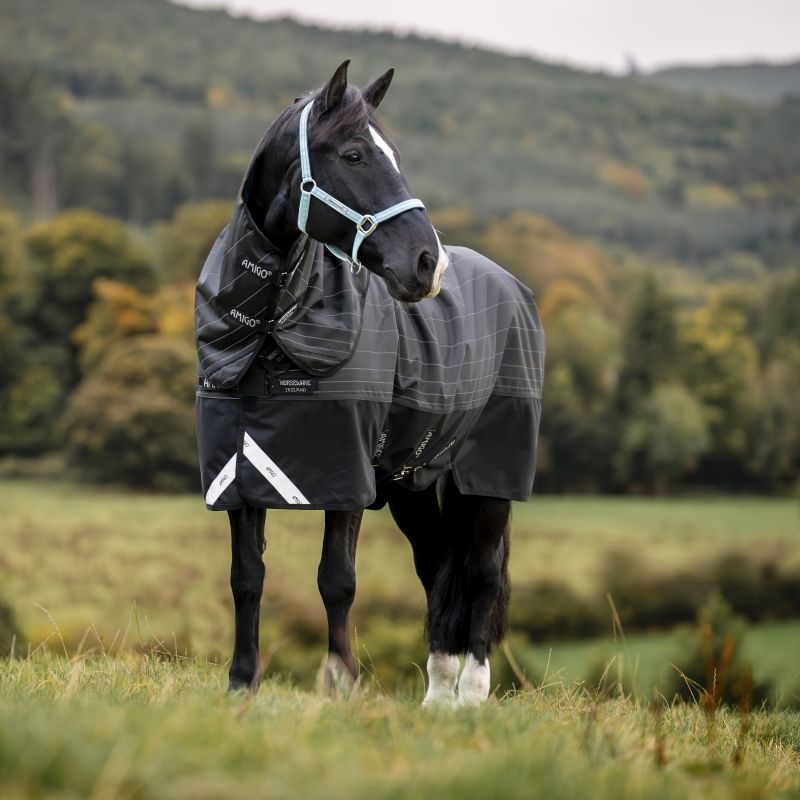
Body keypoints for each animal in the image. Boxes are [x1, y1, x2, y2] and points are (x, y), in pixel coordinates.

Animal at [194, 61, 544, 705]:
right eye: (354, 154)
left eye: (395, 155)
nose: (428, 264)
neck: (274, 325)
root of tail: (512, 286)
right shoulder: (238, 471)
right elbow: (246, 577)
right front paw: (240, 686)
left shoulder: (346, 474)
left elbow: (337, 579)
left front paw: (340, 687)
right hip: (412, 483)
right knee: (437, 567)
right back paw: (437, 698)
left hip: (489, 478)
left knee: (480, 572)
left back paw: (472, 694)